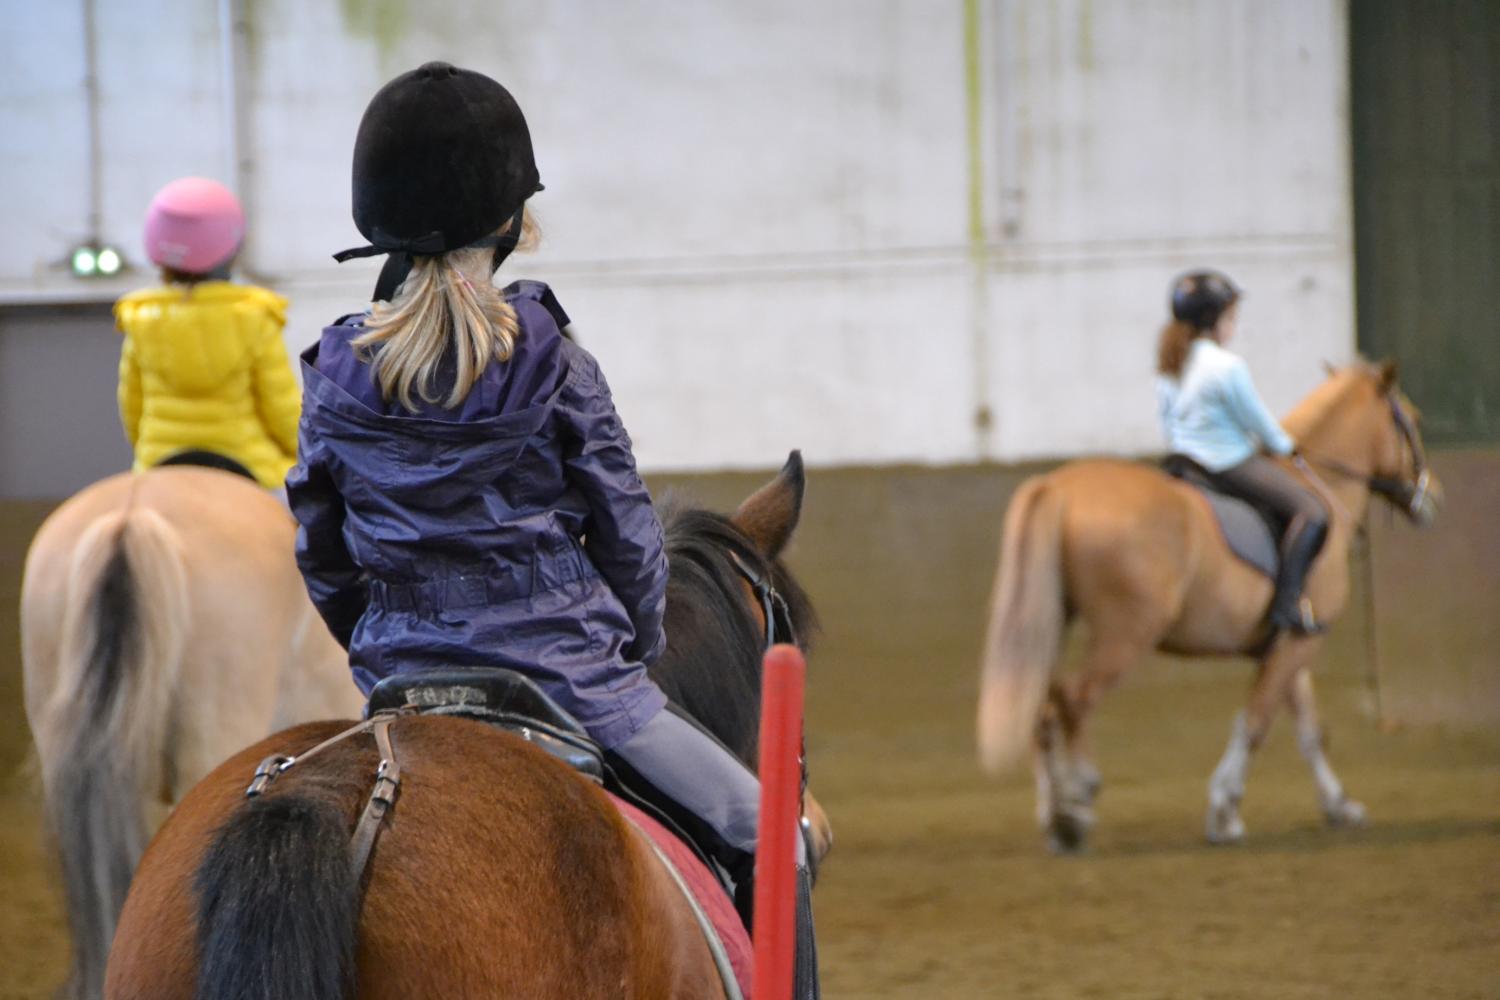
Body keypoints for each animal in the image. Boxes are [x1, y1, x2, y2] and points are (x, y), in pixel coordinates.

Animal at [978, 364, 1434, 851]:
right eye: (1413, 421)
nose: (1432, 500)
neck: (1323, 486)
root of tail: (1058, 485)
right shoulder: (1301, 643)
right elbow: (1255, 723)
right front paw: (1225, 812)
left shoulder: (1289, 642)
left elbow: (1309, 731)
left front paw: (1340, 807)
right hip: (1126, 634)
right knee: (1074, 699)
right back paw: (1077, 805)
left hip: (1055, 623)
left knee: (1041, 711)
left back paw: (1055, 818)